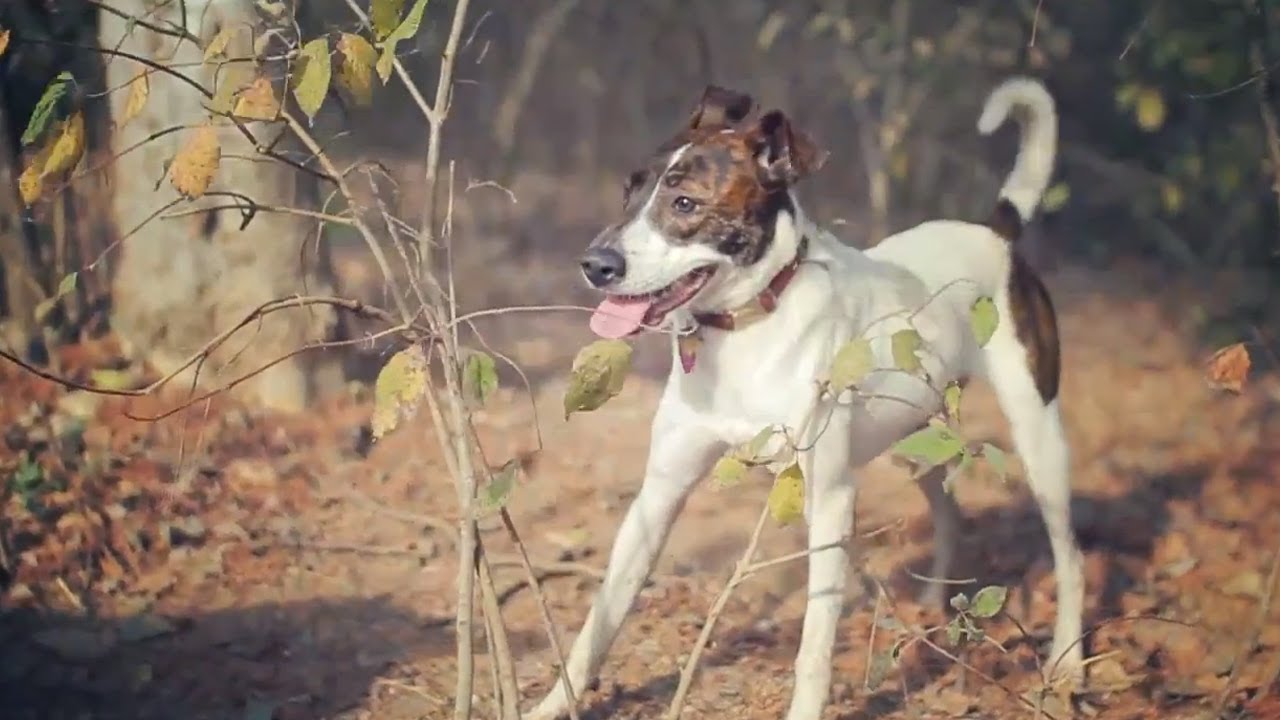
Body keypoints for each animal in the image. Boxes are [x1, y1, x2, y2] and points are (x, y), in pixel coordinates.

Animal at [527, 77, 1080, 717]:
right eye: (629, 192)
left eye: (685, 203)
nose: (595, 264)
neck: (744, 328)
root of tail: (996, 232)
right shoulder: (659, 493)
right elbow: (600, 620)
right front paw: (552, 704)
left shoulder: (830, 499)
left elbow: (814, 643)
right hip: (917, 437)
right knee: (949, 513)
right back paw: (930, 615)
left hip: (1038, 435)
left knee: (1069, 554)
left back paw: (1068, 662)